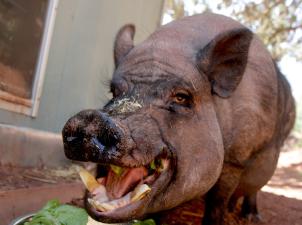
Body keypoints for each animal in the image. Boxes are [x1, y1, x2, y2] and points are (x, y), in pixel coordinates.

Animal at [61, 13, 294, 224]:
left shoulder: (235, 159)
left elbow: (217, 202)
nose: (91, 119)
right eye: (113, 92)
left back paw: (251, 217)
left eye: (181, 97)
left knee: (252, 191)